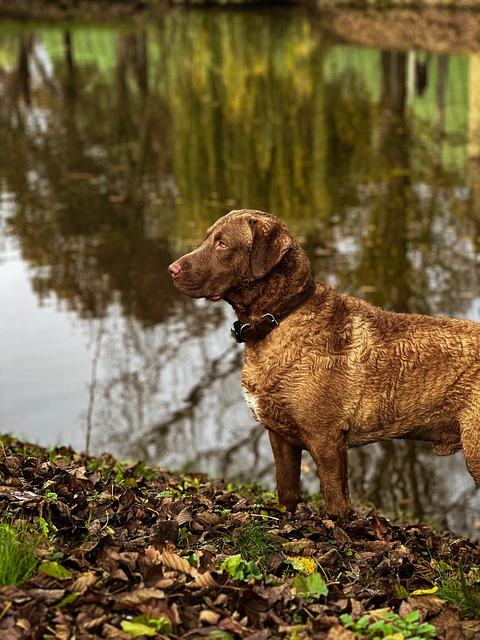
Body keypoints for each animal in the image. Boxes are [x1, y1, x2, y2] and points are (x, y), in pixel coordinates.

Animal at [168, 208, 480, 516]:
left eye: (222, 244)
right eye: (208, 237)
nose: (171, 269)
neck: (280, 318)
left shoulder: (325, 439)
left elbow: (336, 503)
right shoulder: (279, 436)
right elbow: (287, 492)